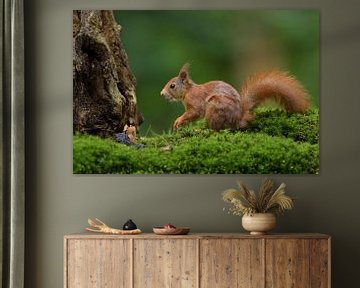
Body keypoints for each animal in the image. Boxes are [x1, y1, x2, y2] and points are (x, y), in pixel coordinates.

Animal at [160, 64, 310, 132]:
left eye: (172, 86)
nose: (162, 94)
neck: (188, 91)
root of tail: (238, 119)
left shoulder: (195, 102)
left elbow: (193, 113)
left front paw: (179, 120)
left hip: (215, 108)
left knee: (218, 129)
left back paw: (204, 129)